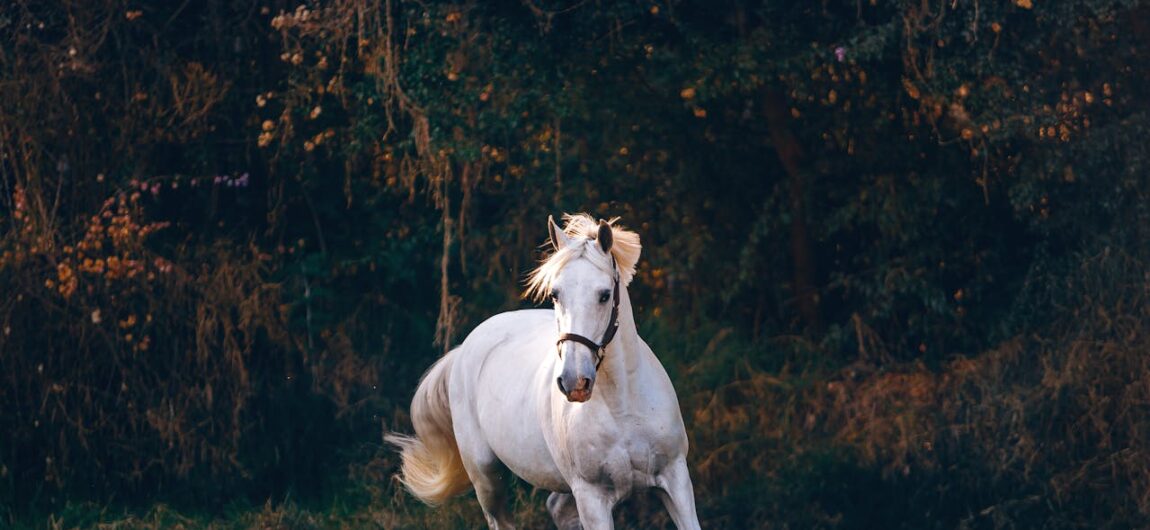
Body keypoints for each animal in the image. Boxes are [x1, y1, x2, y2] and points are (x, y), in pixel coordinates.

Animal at [386, 214, 701, 530]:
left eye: (604, 295)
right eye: (555, 294)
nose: (575, 382)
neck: (623, 406)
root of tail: (464, 349)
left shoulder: (676, 480)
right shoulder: (591, 497)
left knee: (556, 508)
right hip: (487, 477)